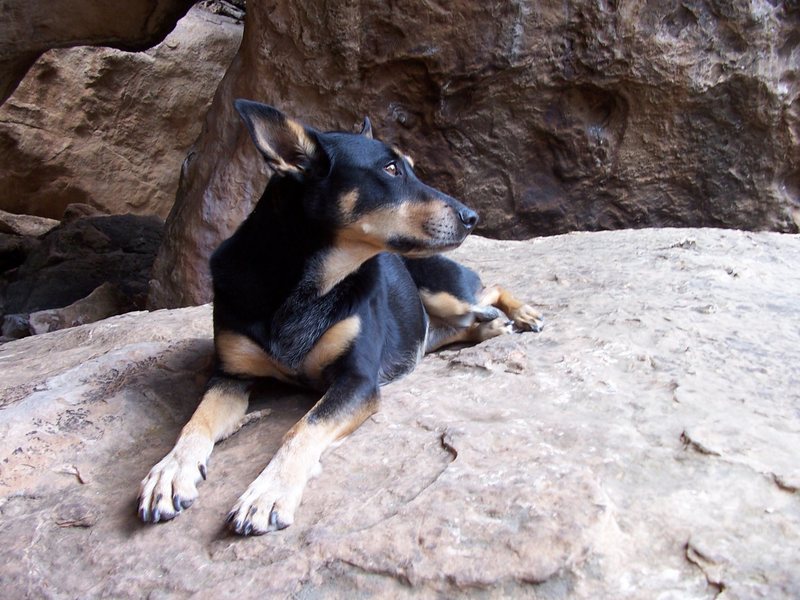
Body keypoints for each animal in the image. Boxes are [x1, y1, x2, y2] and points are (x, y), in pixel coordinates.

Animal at [136, 101, 544, 536]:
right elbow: (195, 423)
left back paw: (522, 313)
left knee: (489, 289)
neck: (308, 285)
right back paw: (493, 326)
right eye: (391, 169)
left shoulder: (357, 380)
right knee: (459, 322)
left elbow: (302, 428)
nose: (473, 216)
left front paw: (269, 492)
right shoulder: (230, 375)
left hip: (447, 294)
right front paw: (170, 472)